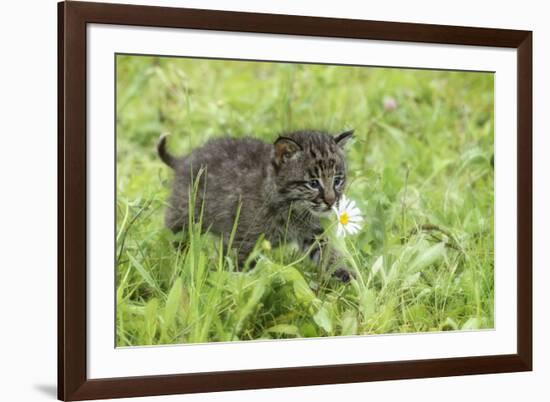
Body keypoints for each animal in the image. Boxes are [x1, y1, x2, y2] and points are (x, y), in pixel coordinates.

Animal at [158, 130, 358, 282]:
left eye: (338, 181)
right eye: (313, 183)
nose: (331, 202)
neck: (292, 208)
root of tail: (184, 159)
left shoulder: (314, 232)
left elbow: (329, 253)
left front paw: (346, 274)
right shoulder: (242, 240)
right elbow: (239, 269)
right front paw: (238, 289)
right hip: (184, 214)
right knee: (174, 235)